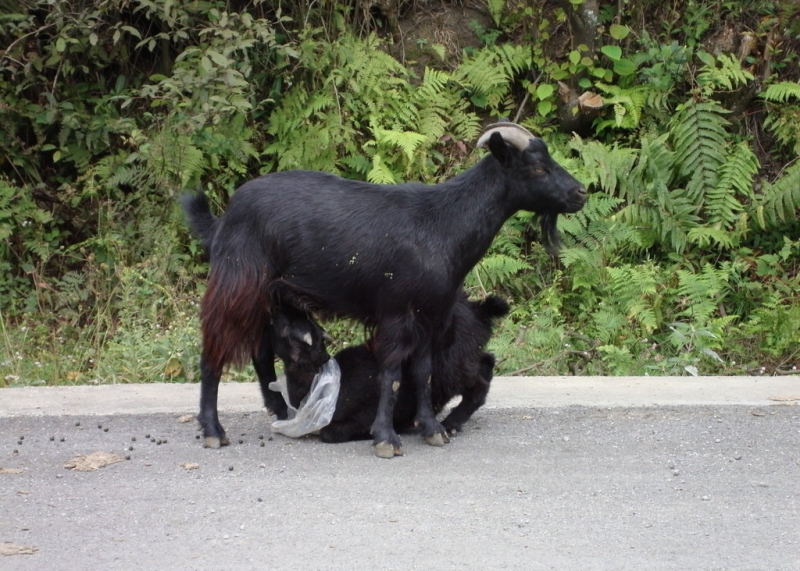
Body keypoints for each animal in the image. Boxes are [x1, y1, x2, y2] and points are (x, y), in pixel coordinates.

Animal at [272, 292, 510, 444]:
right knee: (488, 361)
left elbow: (329, 433)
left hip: (454, 365)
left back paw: (451, 422)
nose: (276, 308)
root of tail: (480, 310)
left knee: (481, 379)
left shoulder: (364, 413)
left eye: (288, 333)